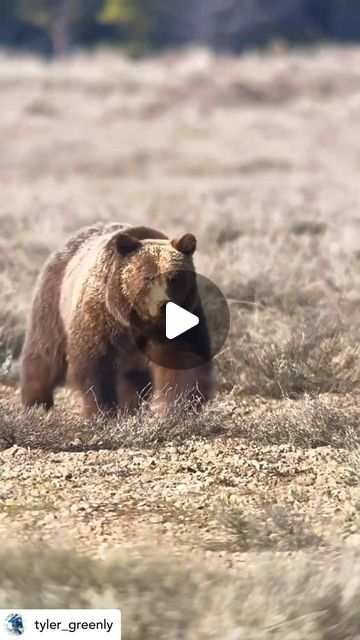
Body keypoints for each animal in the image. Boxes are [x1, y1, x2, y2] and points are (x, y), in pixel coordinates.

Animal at [21, 222, 212, 418]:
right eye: (148, 278)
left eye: (174, 278)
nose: (163, 304)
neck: (139, 323)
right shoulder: (101, 320)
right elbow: (94, 366)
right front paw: (101, 411)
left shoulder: (177, 328)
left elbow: (182, 361)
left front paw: (176, 407)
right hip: (53, 302)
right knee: (44, 355)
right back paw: (35, 403)